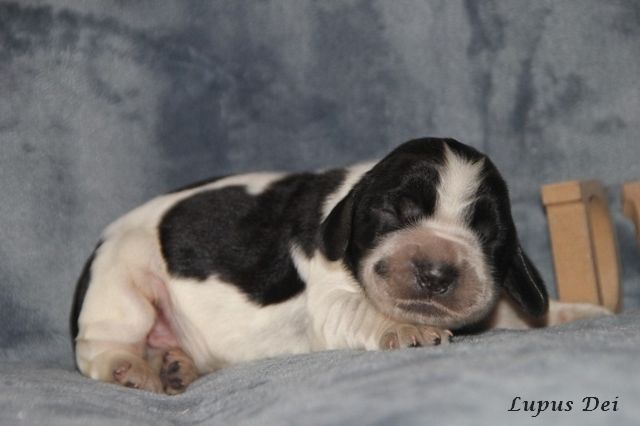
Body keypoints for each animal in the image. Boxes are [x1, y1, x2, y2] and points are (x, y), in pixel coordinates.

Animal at [71, 136, 608, 392]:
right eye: (395, 212)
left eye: (487, 233)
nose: (436, 273)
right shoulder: (328, 302)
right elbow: (365, 311)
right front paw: (406, 329)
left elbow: (518, 310)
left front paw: (575, 312)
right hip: (121, 280)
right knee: (98, 347)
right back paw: (133, 368)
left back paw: (174, 364)